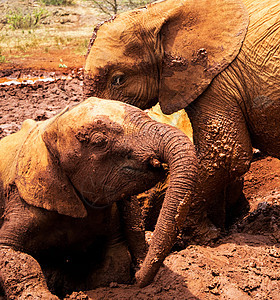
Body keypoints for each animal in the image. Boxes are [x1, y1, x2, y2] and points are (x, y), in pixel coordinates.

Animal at [0, 98, 197, 298]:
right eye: (99, 141)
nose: (139, 276)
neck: (50, 125)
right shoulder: (23, 200)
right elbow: (11, 254)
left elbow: (115, 262)